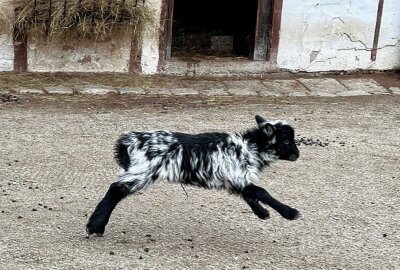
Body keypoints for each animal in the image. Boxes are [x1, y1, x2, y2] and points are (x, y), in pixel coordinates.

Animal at [86, 115, 300, 235]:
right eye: (286, 141)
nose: (297, 155)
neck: (250, 147)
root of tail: (131, 140)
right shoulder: (236, 174)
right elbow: (262, 192)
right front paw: (290, 212)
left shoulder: (234, 179)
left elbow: (250, 195)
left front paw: (262, 212)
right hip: (142, 172)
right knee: (116, 190)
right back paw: (95, 225)